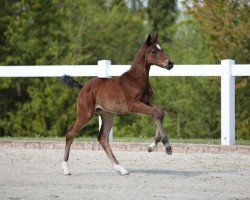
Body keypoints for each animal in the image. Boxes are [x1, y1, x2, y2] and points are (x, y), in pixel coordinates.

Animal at [61, 34, 174, 175]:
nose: (170, 63)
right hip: (86, 114)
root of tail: (83, 87)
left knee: (103, 138)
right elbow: (156, 112)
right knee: (71, 133)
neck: (136, 79)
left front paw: (152, 146)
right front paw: (167, 147)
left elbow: (159, 111)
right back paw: (65, 168)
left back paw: (121, 168)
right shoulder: (132, 105)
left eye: (161, 49)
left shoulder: (146, 102)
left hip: (108, 115)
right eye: (153, 52)